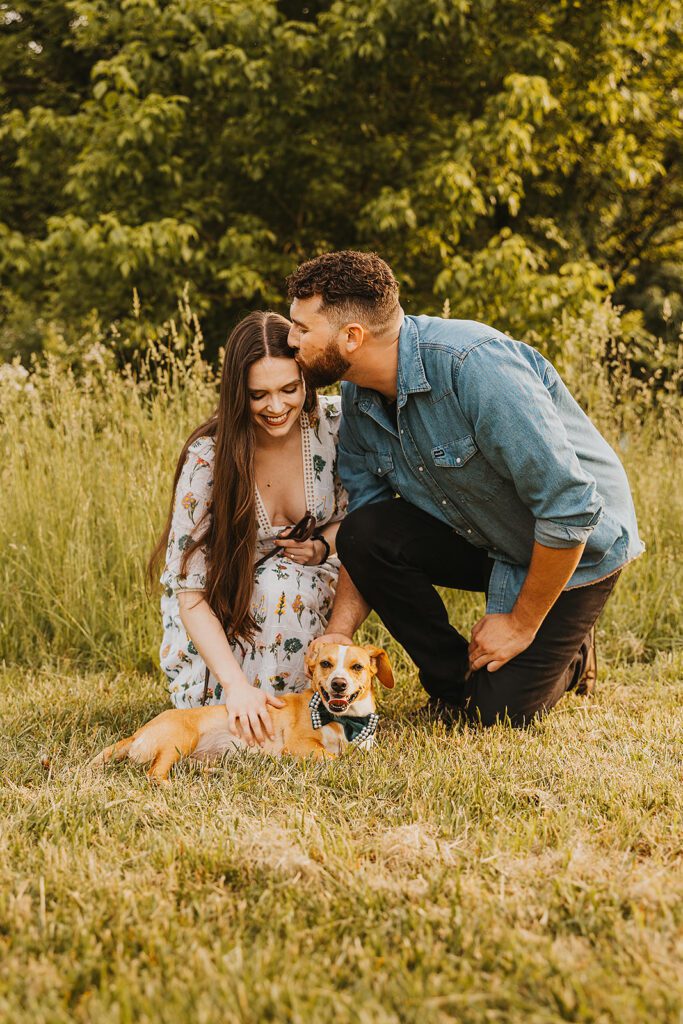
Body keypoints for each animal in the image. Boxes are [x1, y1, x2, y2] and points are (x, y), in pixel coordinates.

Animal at [89, 643, 395, 778]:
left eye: (357, 667)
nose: (338, 684)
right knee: (155, 774)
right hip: (180, 739)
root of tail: (137, 733)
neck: (345, 721)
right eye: (326, 664)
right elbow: (335, 758)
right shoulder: (300, 746)